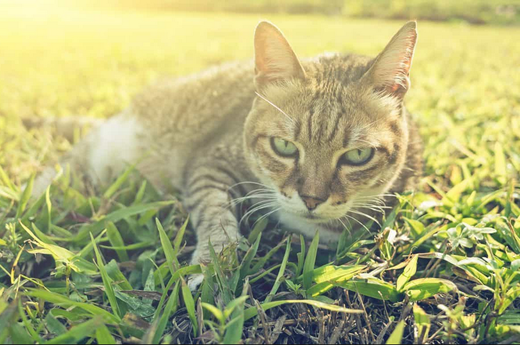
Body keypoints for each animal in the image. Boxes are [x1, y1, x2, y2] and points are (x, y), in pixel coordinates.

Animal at [29, 19, 422, 288]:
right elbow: (215, 212)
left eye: (358, 156)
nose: (311, 199)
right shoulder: (209, 163)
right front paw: (214, 261)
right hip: (103, 152)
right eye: (284, 147)